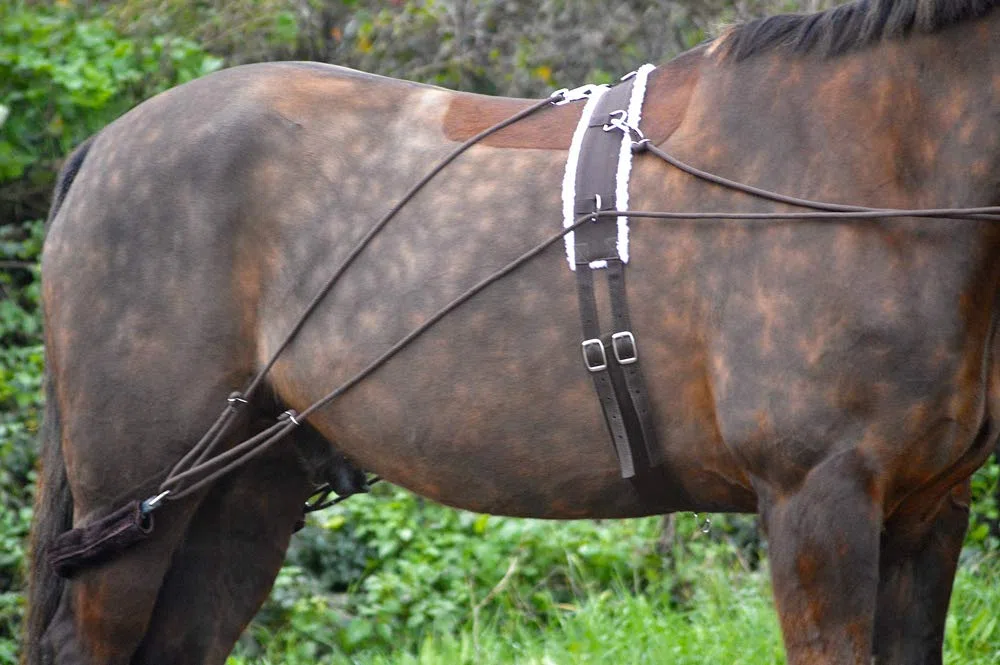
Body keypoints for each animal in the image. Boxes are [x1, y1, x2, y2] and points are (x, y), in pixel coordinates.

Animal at [24, 1, 1000, 663]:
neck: (868, 160)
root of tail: (104, 147)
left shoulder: (926, 510)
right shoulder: (816, 499)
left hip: (240, 495)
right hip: (135, 501)